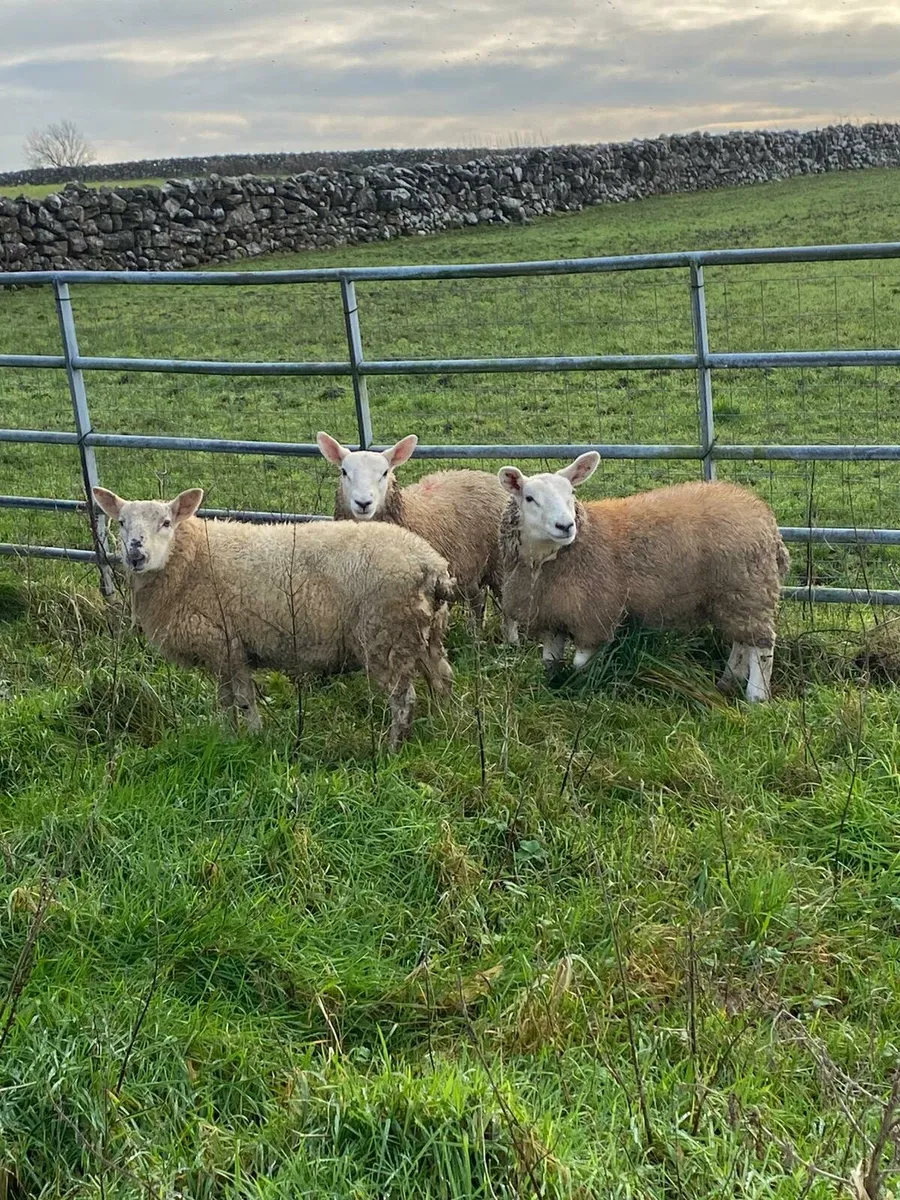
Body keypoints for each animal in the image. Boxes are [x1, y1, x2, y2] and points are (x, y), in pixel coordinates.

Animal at [92, 486, 454, 749]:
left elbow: (239, 701)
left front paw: (248, 738)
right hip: (424, 635)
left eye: (166, 523)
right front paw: (234, 738)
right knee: (443, 679)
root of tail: (432, 566)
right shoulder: (229, 650)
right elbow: (231, 701)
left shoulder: (225, 645)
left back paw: (391, 748)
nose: (136, 554)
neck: (189, 559)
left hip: (385, 635)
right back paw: (446, 725)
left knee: (404, 699)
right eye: (121, 523)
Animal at [316, 431, 517, 642]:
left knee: (505, 603)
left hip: (501, 561)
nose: (363, 503)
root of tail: (482, 474)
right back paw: (475, 635)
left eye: (385, 473)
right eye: (344, 472)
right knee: (477, 599)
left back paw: (510, 641)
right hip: (470, 564)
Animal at [497, 454, 790, 702]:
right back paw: (728, 681)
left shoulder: (594, 614)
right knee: (742, 641)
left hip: (750, 587)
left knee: (762, 647)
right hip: (734, 595)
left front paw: (584, 688)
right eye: (530, 498)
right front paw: (552, 687)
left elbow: (581, 663)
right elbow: (550, 661)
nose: (566, 526)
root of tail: (760, 511)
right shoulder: (550, 616)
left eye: (571, 493)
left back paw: (756, 696)